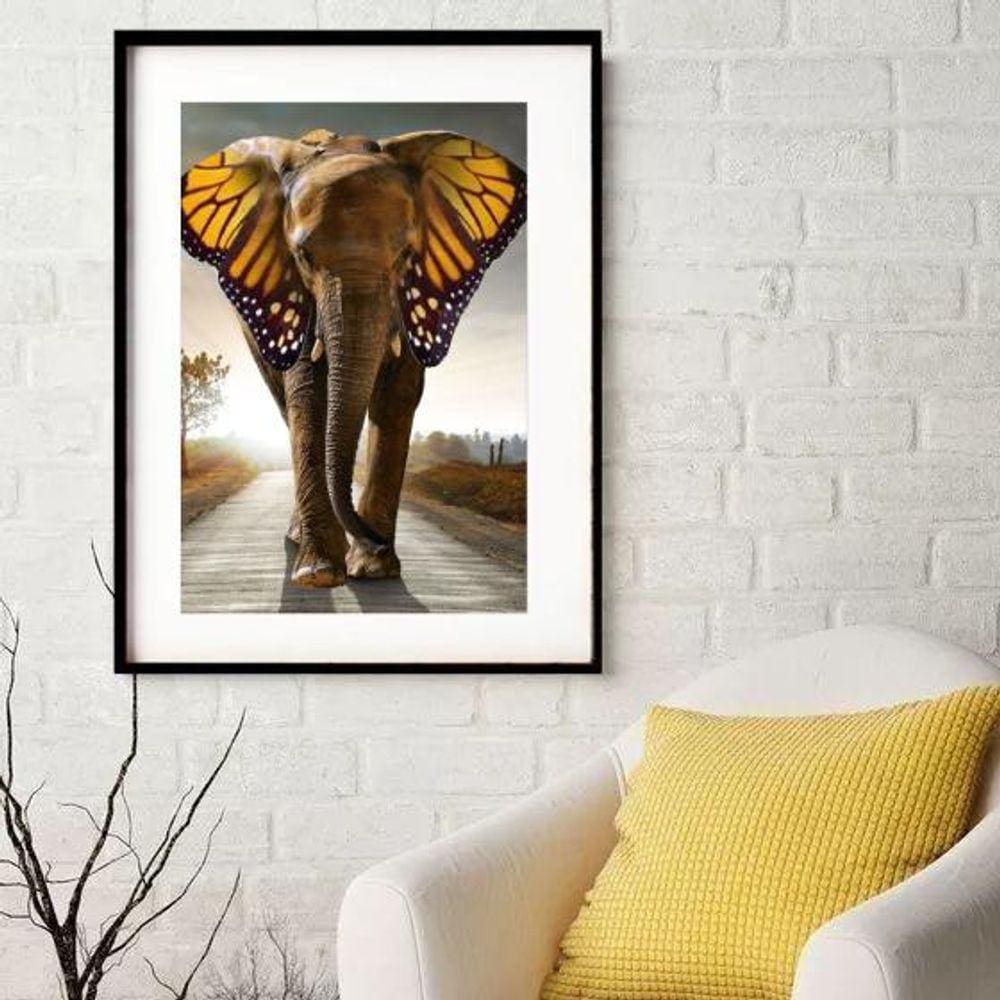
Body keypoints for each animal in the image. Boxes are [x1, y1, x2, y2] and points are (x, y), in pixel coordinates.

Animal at [181, 127, 526, 588]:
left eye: (406, 256)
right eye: (303, 256)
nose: (375, 539)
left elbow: (399, 396)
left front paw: (375, 568)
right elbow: (309, 393)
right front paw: (320, 574)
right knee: (287, 405)